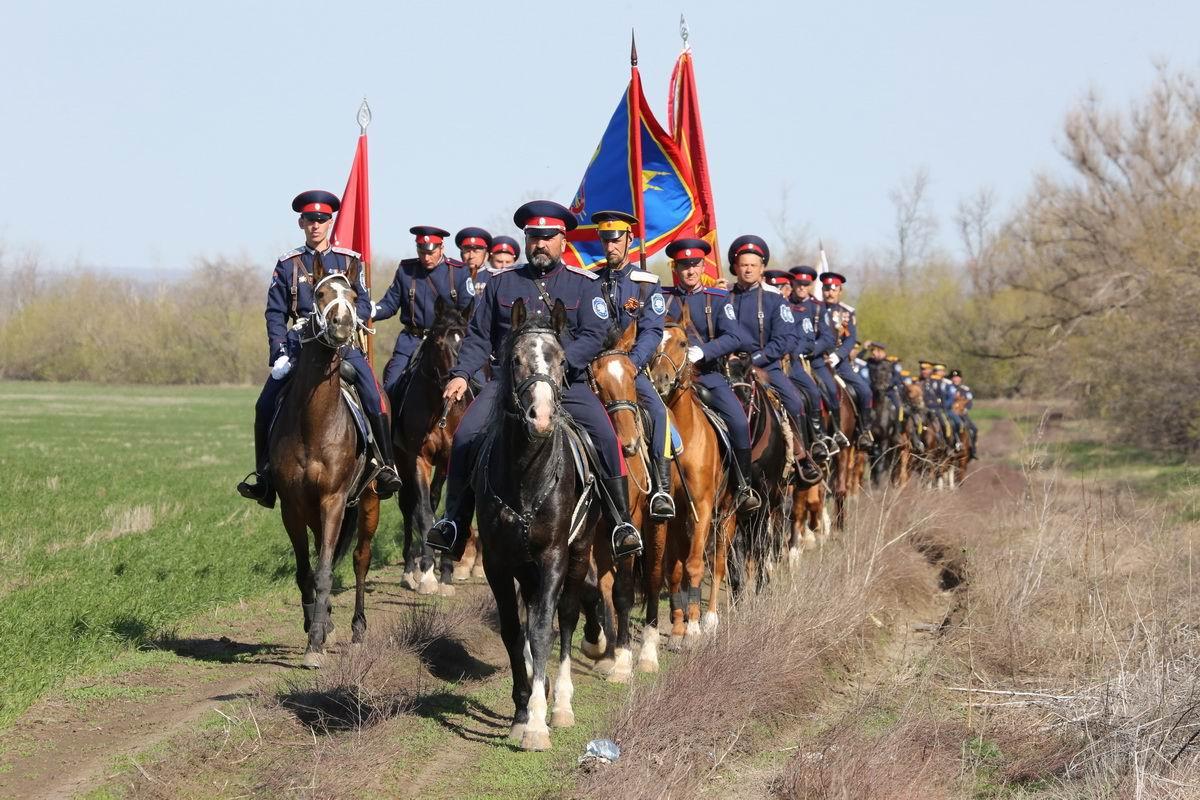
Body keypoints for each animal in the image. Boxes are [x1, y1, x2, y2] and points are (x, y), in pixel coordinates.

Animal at [272, 261, 379, 671]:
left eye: (352, 296)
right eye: (319, 294)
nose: (341, 326)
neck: (314, 423)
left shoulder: (333, 501)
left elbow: (324, 571)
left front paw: (315, 643)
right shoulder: (292, 505)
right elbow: (307, 571)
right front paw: (314, 624)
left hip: (369, 502)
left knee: (360, 560)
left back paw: (357, 628)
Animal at [388, 297, 472, 597]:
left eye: (466, 338)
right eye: (436, 340)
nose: (453, 384)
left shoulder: (449, 461)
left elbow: (447, 511)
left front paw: (445, 573)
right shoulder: (417, 459)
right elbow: (424, 513)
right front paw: (426, 574)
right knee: (408, 507)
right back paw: (409, 569)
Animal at [468, 296, 600, 753]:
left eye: (561, 360)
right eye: (516, 360)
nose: (540, 417)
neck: (527, 473)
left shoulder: (554, 558)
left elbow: (543, 628)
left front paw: (539, 723)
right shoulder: (497, 562)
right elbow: (513, 630)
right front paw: (522, 710)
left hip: (579, 556)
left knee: (567, 618)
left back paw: (561, 704)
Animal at [643, 311, 734, 662]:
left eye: (684, 343)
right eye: (654, 342)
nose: (661, 379)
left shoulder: (703, 509)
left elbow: (696, 565)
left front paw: (694, 630)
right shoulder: (670, 514)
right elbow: (674, 571)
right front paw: (678, 632)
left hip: (726, 516)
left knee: (718, 562)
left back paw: (709, 619)